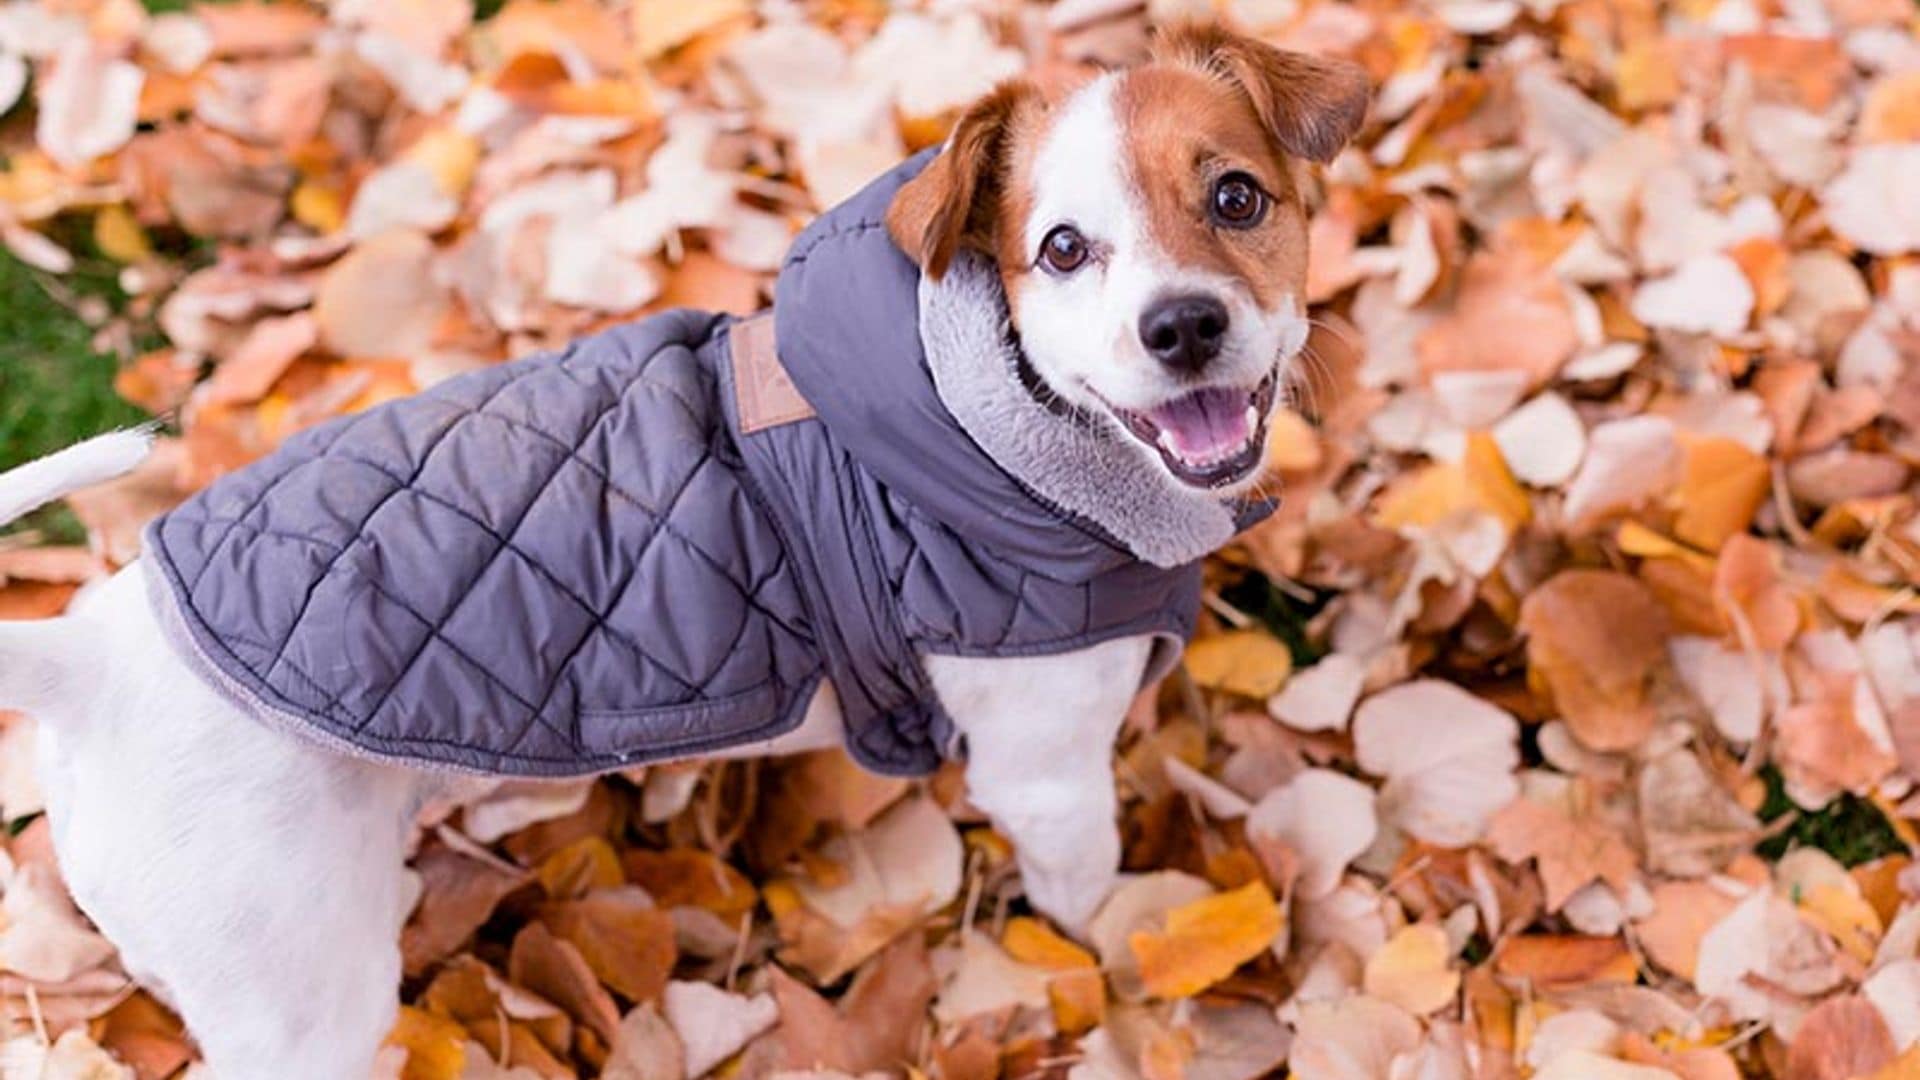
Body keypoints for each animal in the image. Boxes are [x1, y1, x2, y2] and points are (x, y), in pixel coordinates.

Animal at [0, 27, 1367, 1076]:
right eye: (1063, 250)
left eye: (1236, 197)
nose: (1183, 326)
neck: (981, 423)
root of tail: (81, 658)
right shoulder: (1046, 779)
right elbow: (1092, 906)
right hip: (297, 1003)